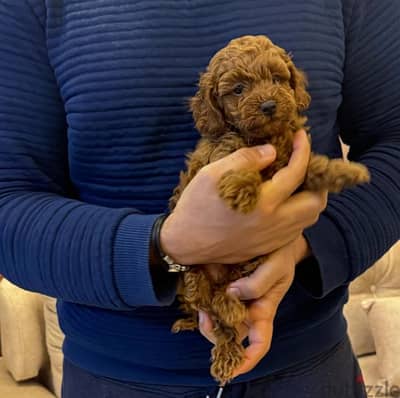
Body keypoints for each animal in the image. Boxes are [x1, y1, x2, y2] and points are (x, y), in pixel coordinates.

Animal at [168, 35, 368, 386]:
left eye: (277, 79)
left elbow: (312, 167)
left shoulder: (292, 161)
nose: (269, 106)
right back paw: (228, 332)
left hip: (240, 273)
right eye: (238, 90)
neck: (264, 136)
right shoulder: (219, 156)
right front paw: (242, 188)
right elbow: (237, 160)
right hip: (194, 277)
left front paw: (345, 171)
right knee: (216, 311)